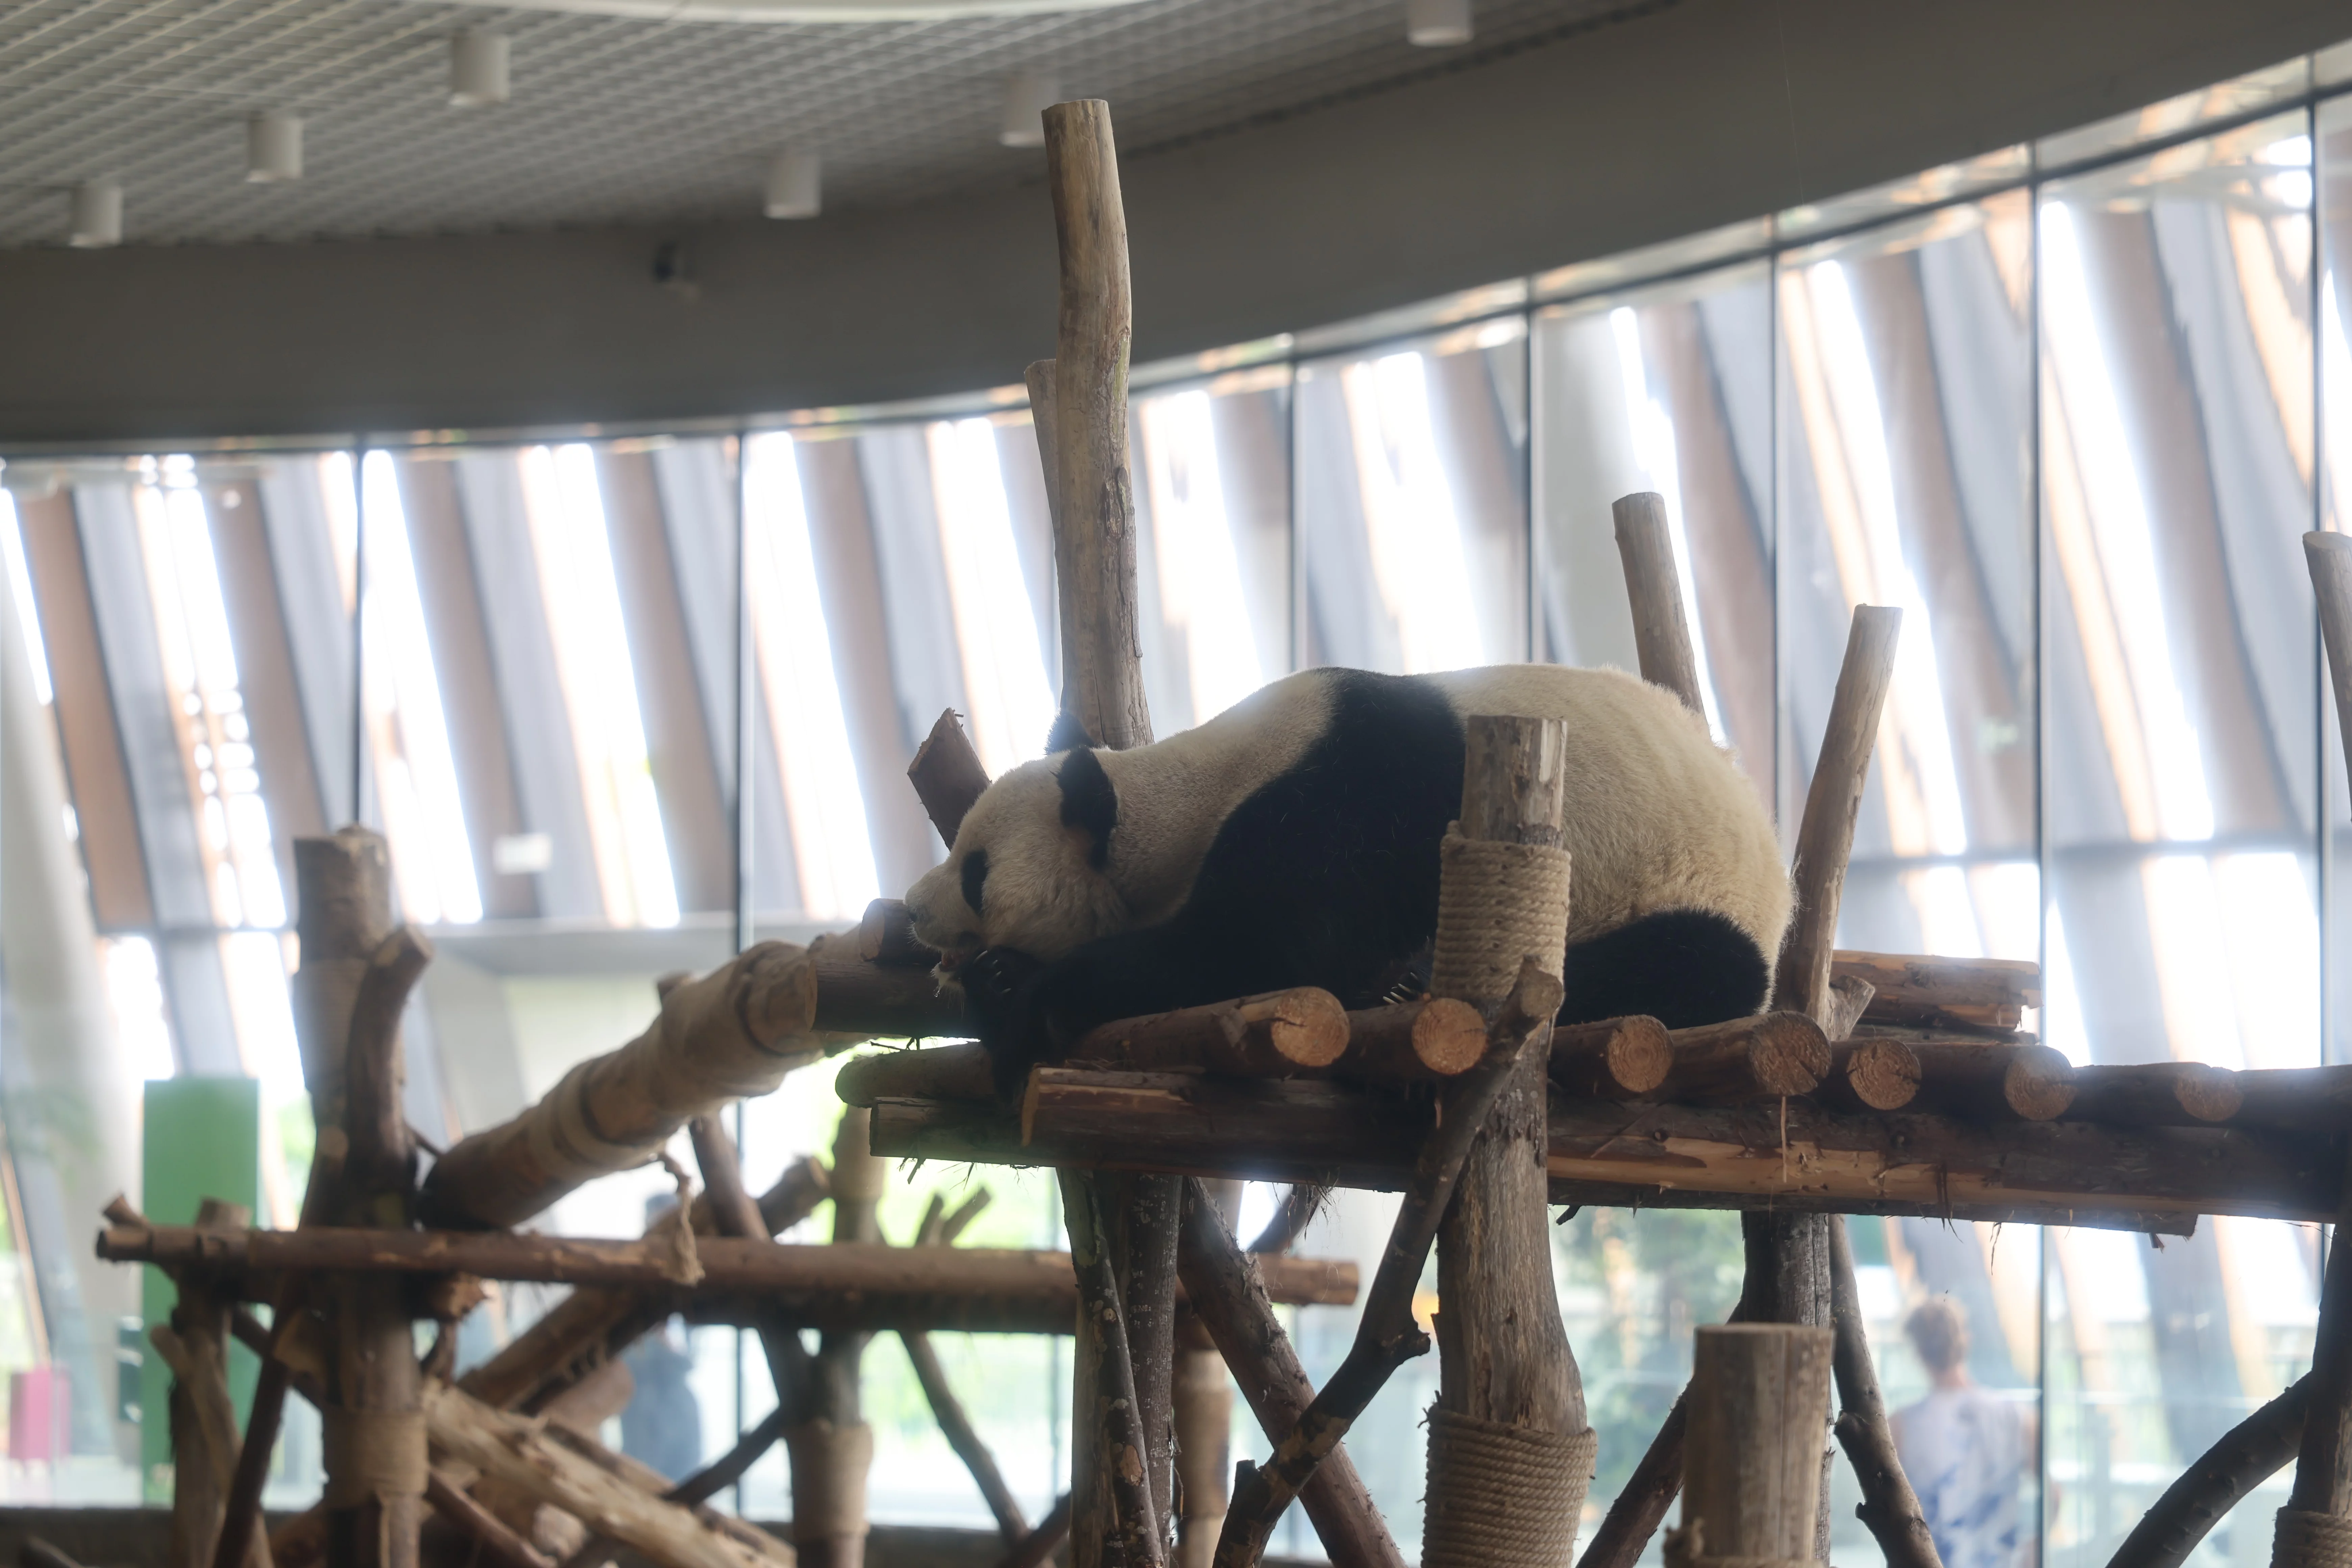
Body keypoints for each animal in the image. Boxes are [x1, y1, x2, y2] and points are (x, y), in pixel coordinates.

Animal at [904, 664, 1792, 1094]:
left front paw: (1023, 995)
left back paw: (1409, 983)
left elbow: (1255, 952)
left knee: (1691, 966)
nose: (913, 908)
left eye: (976, 873)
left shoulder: (1347, 802)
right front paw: (997, 979)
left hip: (1682, 888)